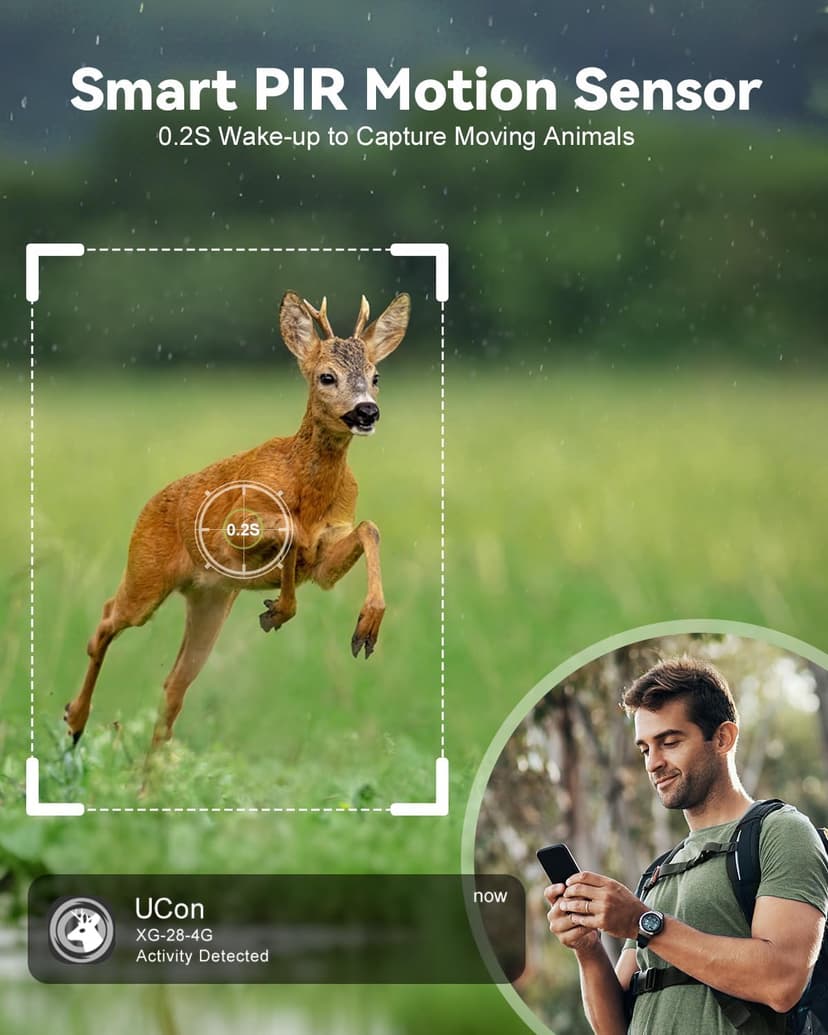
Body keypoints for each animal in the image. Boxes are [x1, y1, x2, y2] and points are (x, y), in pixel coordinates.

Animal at [64, 290, 411, 749]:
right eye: (326, 377)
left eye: (376, 376)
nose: (367, 411)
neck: (307, 491)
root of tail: (149, 504)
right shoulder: (237, 525)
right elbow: (287, 532)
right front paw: (279, 608)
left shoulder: (325, 559)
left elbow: (368, 529)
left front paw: (364, 629)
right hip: (146, 576)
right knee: (104, 620)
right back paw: (74, 720)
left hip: (211, 600)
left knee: (173, 686)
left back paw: (147, 767)